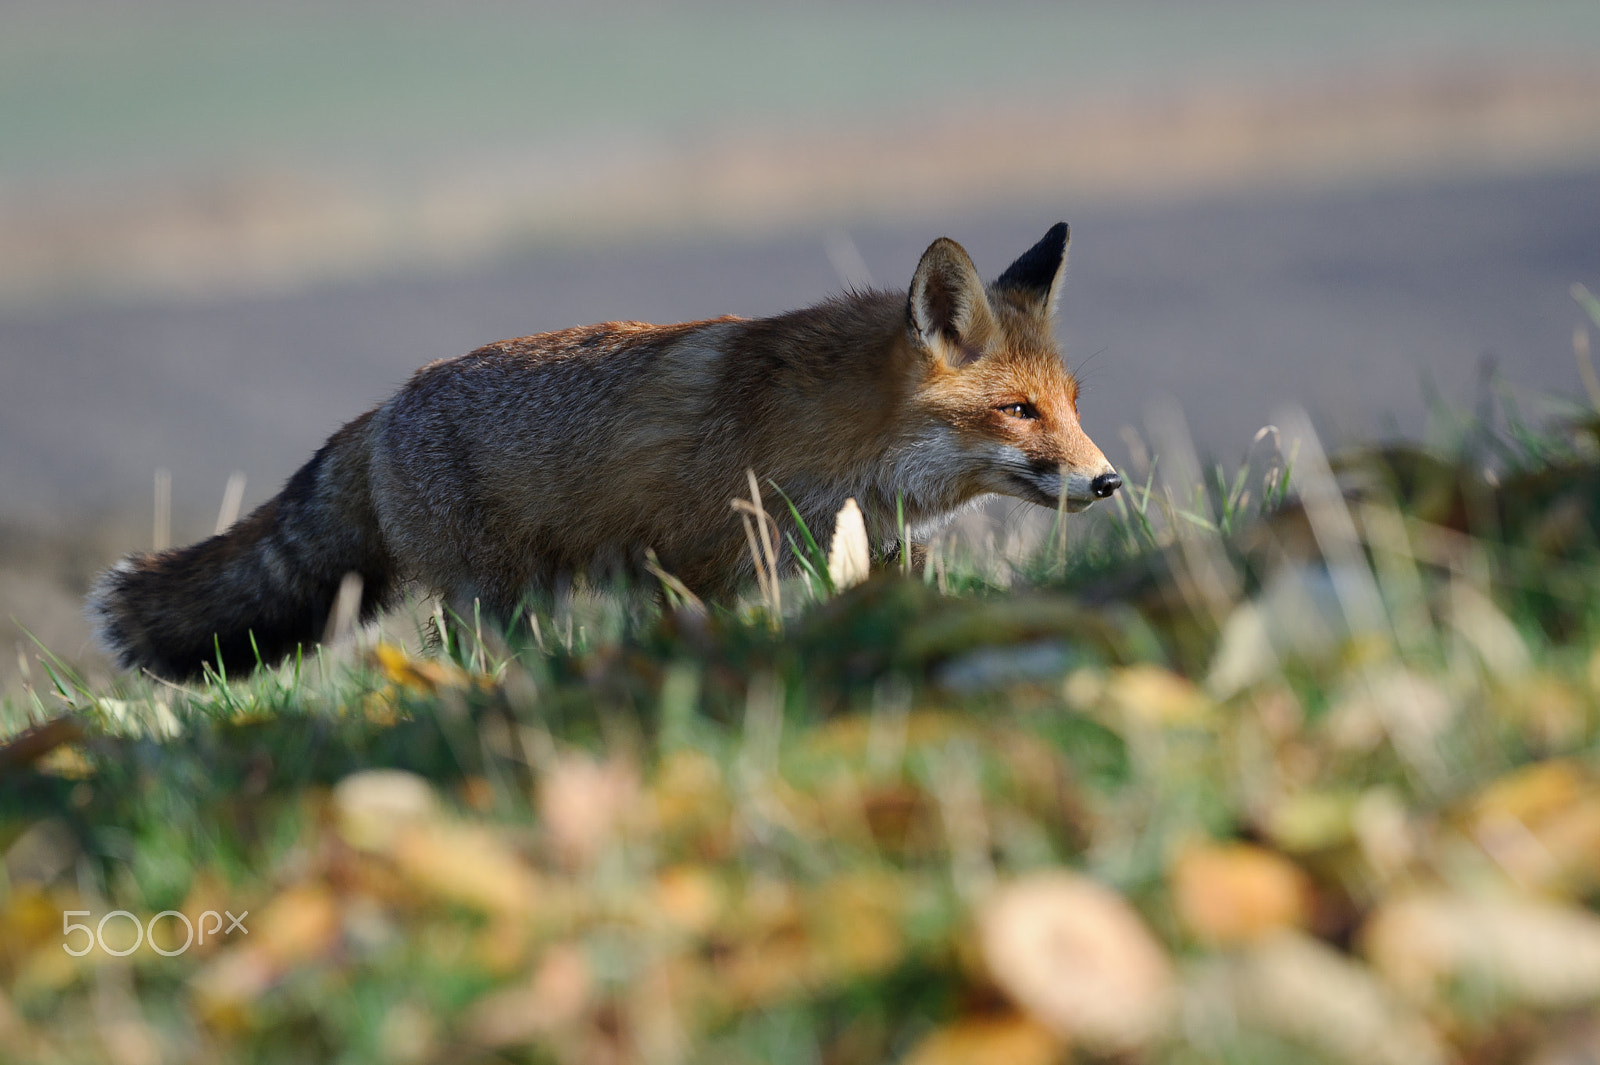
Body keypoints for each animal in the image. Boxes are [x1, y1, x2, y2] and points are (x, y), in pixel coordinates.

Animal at [90, 223, 1121, 679]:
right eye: (1018, 410)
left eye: (1072, 405)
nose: (1108, 481)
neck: (836, 436)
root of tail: (383, 409)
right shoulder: (704, 561)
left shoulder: (861, 551)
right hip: (497, 597)